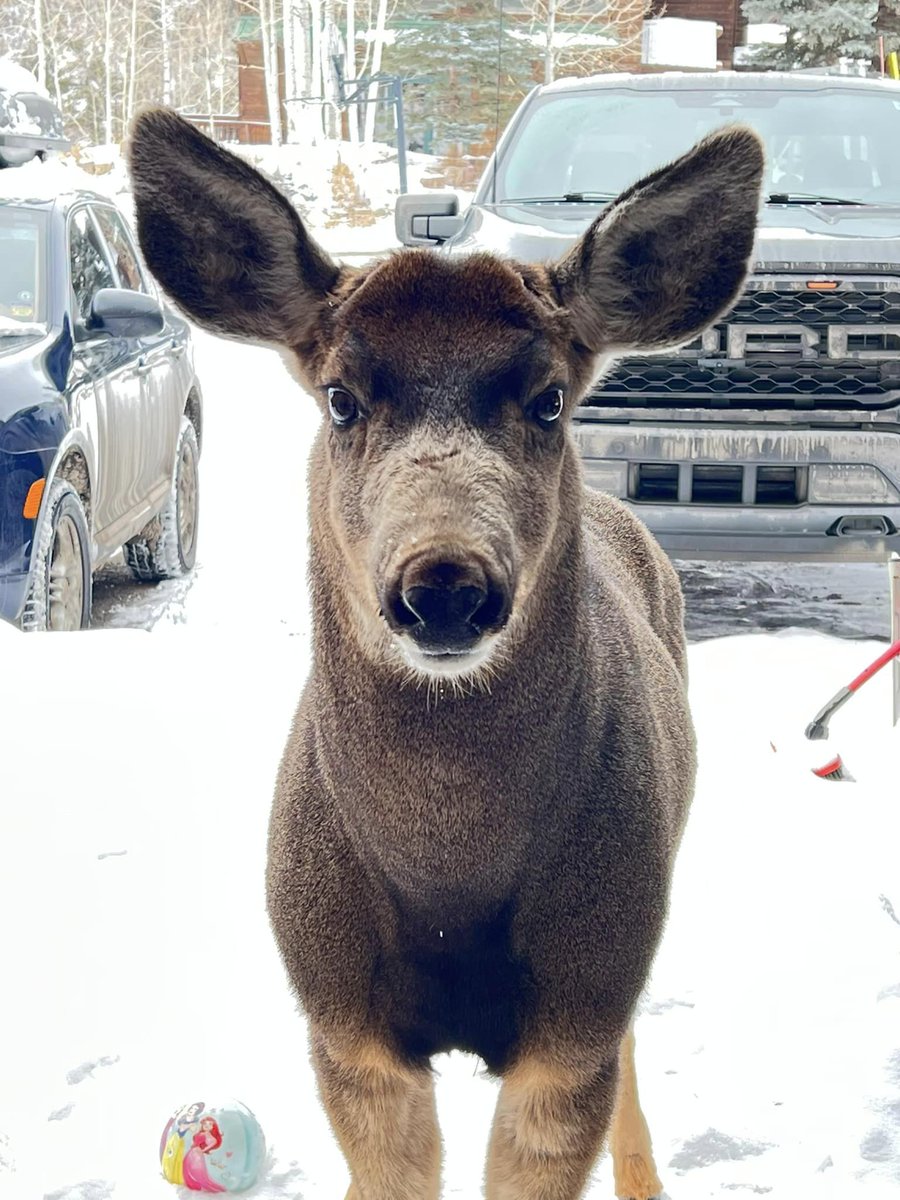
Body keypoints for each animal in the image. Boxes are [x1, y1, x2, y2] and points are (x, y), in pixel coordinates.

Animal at [127, 110, 763, 1200]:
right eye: (341, 398)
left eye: (548, 400)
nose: (447, 583)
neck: (448, 882)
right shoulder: (344, 1029)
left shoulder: (579, 1015)